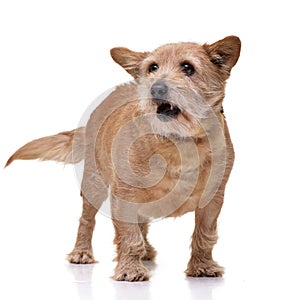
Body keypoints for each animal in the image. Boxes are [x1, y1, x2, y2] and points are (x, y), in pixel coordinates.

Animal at [5, 35, 241, 282]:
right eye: (152, 67)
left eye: (188, 67)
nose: (156, 87)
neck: (176, 141)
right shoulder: (123, 195)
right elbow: (129, 236)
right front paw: (130, 269)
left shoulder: (212, 201)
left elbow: (204, 235)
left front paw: (202, 266)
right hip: (94, 184)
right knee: (87, 220)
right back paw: (82, 252)